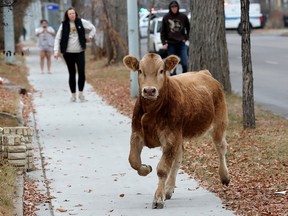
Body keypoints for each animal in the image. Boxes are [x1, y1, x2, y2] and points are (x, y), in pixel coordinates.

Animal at [122, 52, 231, 209]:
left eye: (161, 70)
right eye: (140, 70)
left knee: (221, 148)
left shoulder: (170, 138)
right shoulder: (136, 134)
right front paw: (146, 168)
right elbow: (133, 160)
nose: (149, 90)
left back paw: (224, 176)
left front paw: (158, 198)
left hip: (219, 124)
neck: (152, 112)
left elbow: (162, 169)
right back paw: (169, 189)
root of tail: (204, 73)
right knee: (179, 157)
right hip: (180, 135)